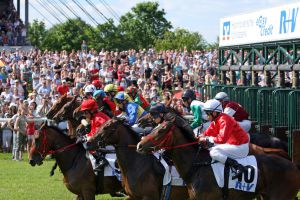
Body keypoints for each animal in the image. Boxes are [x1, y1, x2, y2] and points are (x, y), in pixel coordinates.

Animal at [137, 121, 300, 200]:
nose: (140, 145)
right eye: (154, 127)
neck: (196, 166)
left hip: (281, 196)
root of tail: (294, 166)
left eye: (161, 130)